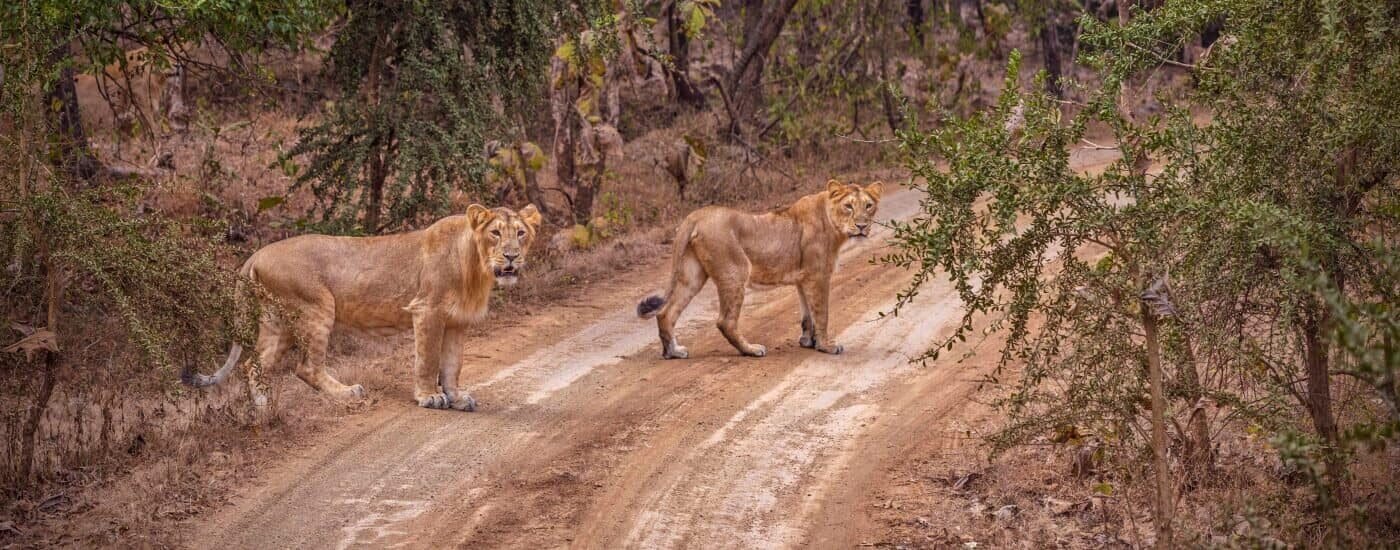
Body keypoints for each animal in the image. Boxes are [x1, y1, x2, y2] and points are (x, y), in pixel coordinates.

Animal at [182, 202, 540, 408]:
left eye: (521, 233)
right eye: (496, 233)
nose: (511, 257)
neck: (476, 267)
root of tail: (257, 253)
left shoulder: (457, 321)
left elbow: (453, 364)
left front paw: (456, 396)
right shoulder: (427, 311)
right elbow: (428, 360)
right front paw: (429, 397)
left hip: (276, 321)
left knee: (253, 364)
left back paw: (262, 407)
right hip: (316, 307)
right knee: (306, 367)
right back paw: (346, 393)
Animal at [638, 179, 879, 361]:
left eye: (869, 205)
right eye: (849, 206)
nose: (862, 226)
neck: (832, 222)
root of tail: (695, 215)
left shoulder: (803, 278)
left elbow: (807, 315)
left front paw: (808, 342)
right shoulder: (818, 276)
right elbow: (821, 314)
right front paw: (826, 346)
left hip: (692, 275)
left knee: (666, 312)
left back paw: (673, 352)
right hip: (736, 271)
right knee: (725, 321)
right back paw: (752, 350)